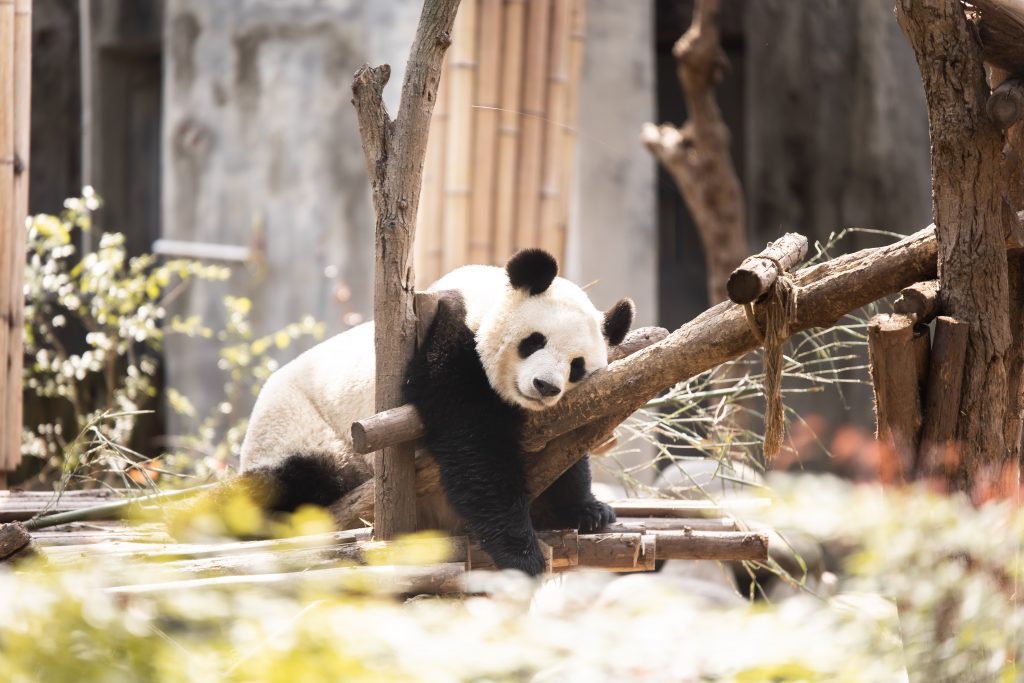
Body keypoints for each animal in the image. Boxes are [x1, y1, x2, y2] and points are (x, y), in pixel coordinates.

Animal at [243, 248, 634, 573]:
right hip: (302, 431)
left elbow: (565, 447)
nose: (545, 386)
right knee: (293, 482)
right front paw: (522, 553)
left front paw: (588, 511)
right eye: (534, 341)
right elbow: (473, 444)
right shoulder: (450, 340)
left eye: (576, 366)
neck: (481, 298)